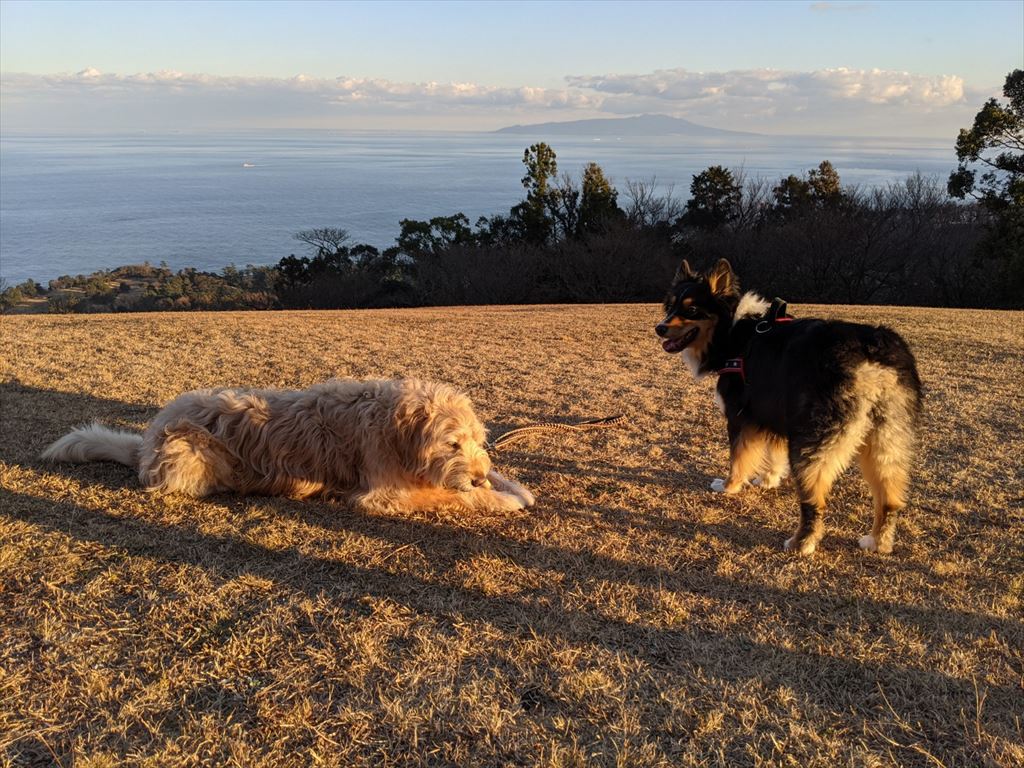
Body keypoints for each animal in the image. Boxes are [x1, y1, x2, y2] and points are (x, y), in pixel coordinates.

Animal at [39, 376, 536, 514]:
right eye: (451, 444)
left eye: (477, 442)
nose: (476, 475)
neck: (392, 425)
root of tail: (144, 441)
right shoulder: (383, 494)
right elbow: (448, 496)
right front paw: (498, 499)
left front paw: (512, 486)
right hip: (192, 452)